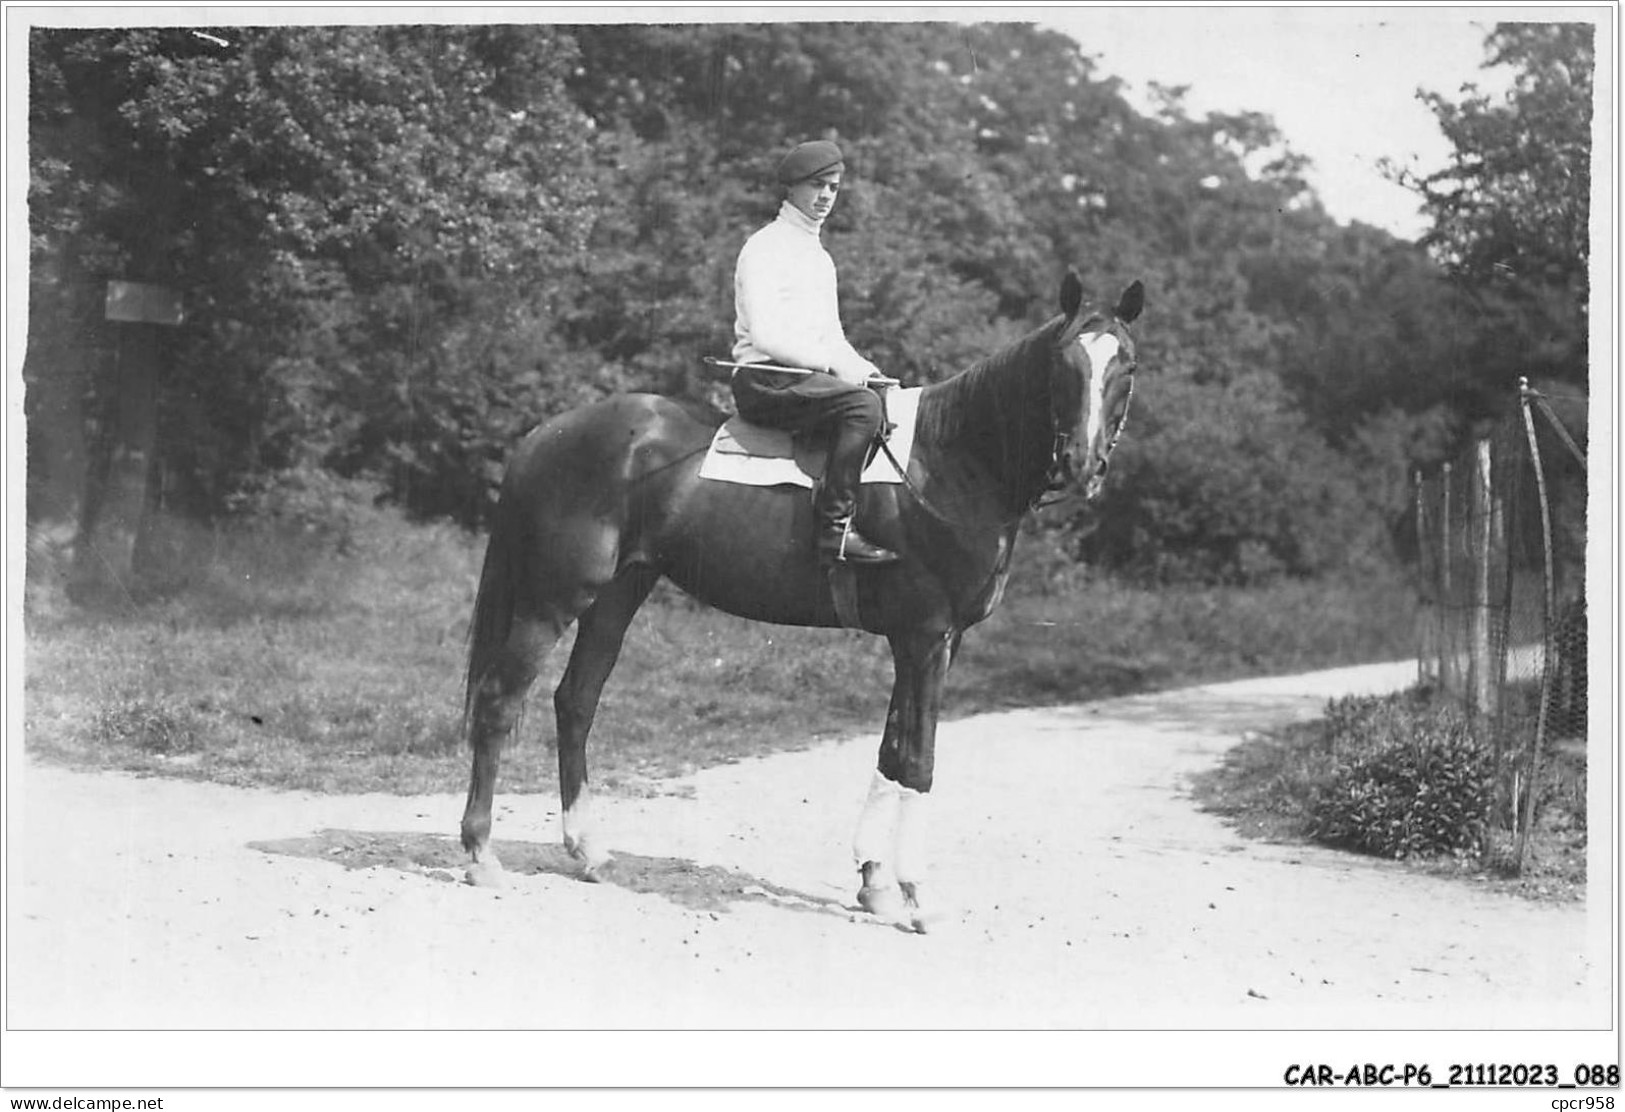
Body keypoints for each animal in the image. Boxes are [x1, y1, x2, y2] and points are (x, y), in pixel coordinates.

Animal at [458, 269, 1144, 929]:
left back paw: (588, 850)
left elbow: (891, 753)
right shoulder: (926, 639)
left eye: (1127, 366)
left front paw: (875, 884)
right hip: (553, 598)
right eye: (1062, 363)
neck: (948, 463)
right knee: (497, 703)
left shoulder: (924, 642)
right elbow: (919, 760)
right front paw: (917, 897)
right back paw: (481, 855)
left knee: (576, 703)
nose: (1081, 465)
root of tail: (546, 434)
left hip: (618, 595)